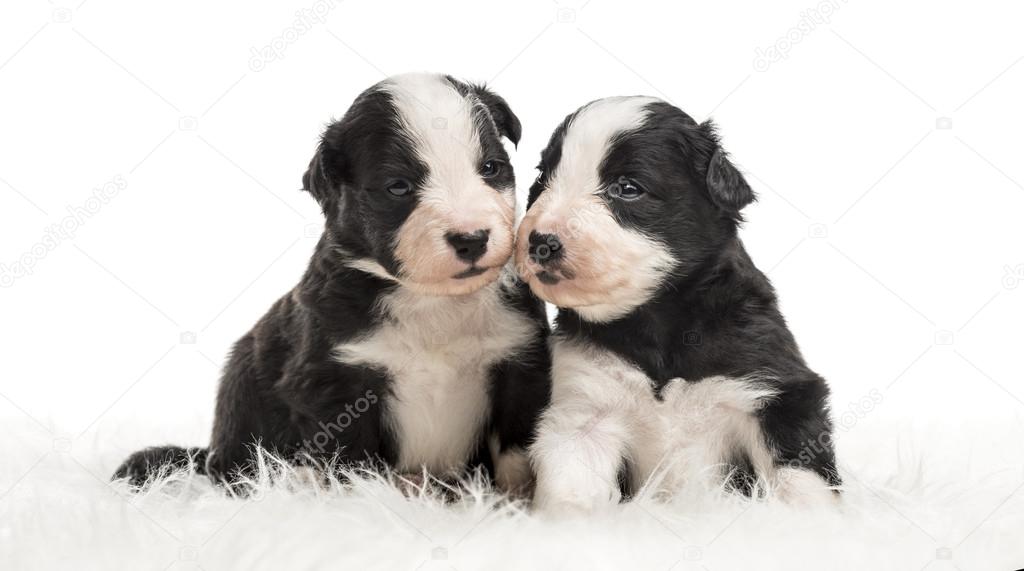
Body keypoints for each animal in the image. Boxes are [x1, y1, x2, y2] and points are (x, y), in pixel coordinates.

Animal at [112, 73, 552, 495]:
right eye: (398, 186)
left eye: (491, 168)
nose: (472, 239)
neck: (433, 302)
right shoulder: (336, 381)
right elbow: (352, 466)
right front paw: (364, 502)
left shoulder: (520, 364)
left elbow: (515, 451)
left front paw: (512, 502)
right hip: (242, 385)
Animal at [516, 96, 843, 511]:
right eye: (543, 178)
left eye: (627, 188)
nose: (540, 241)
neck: (655, 320)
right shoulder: (583, 413)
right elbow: (569, 488)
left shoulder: (775, 392)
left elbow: (800, 480)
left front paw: (813, 520)